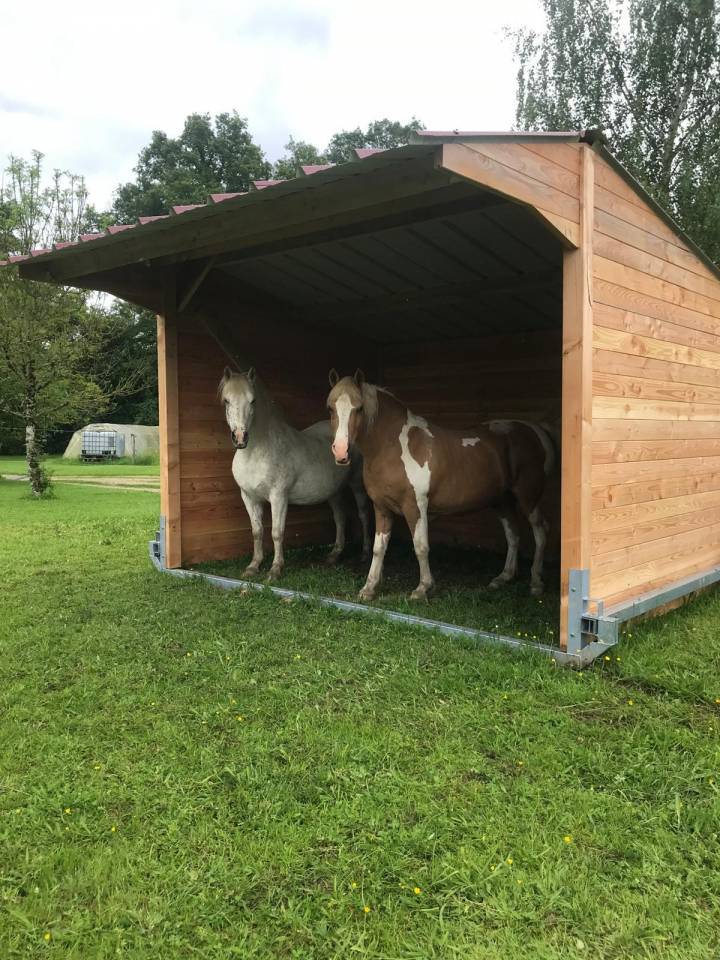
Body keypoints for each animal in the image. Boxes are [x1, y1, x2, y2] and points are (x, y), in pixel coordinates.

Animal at [220, 366, 371, 581]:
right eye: (226, 400)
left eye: (253, 400)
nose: (240, 438)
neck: (256, 453)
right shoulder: (249, 497)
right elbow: (257, 531)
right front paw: (253, 566)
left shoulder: (278, 497)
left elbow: (277, 532)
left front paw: (275, 570)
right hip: (333, 492)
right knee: (340, 517)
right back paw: (334, 555)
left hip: (357, 484)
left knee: (363, 514)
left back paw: (365, 553)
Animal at [326, 369, 555, 602]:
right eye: (330, 408)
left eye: (359, 408)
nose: (341, 451)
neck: (393, 447)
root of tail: (536, 430)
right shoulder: (381, 507)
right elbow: (378, 548)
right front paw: (369, 588)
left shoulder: (415, 506)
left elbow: (420, 546)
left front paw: (423, 588)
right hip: (503, 500)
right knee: (513, 535)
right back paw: (503, 577)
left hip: (528, 497)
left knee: (540, 531)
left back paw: (536, 583)